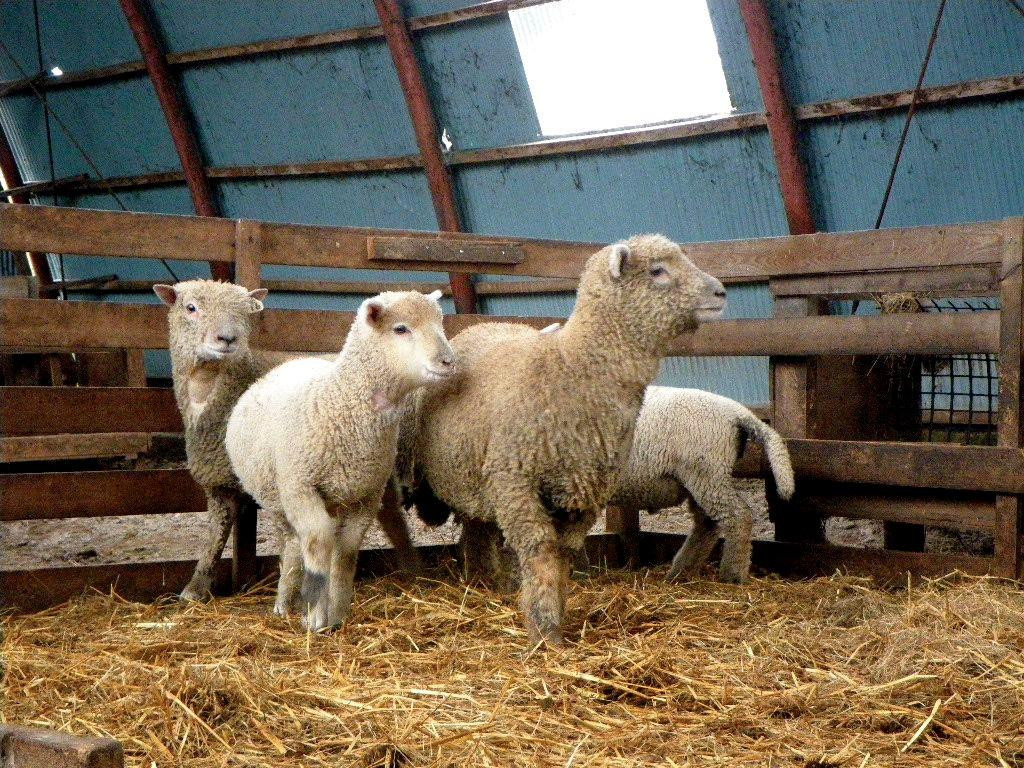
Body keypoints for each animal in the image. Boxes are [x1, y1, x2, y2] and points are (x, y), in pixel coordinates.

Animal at [153, 280, 421, 603]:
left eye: (246, 312)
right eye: (191, 308)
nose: (228, 339)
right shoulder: (221, 481)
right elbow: (215, 535)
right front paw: (196, 587)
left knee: (390, 512)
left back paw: (411, 570)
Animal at [225, 290, 455, 632]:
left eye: (440, 323)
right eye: (400, 328)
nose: (448, 361)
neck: (340, 400)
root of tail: (292, 363)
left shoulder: (366, 497)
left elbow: (344, 554)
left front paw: (337, 613)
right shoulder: (300, 487)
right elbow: (318, 543)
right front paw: (315, 616)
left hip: (335, 496)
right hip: (278, 498)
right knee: (293, 546)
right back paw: (283, 603)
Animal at [407, 235, 727, 645]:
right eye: (658, 270)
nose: (721, 292)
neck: (569, 369)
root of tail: (485, 324)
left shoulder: (586, 490)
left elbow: (564, 553)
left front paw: (556, 618)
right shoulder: (515, 482)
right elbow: (541, 550)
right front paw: (545, 632)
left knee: (479, 531)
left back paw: (488, 583)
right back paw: (482, 582)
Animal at [611, 386, 795, 584]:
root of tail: (737, 411)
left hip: (707, 473)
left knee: (738, 516)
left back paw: (732, 575)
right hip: (701, 478)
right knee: (708, 523)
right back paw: (682, 571)